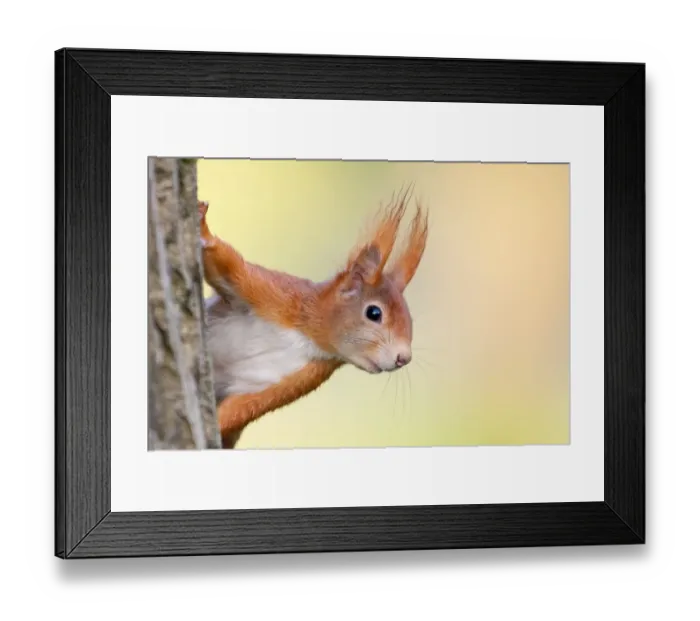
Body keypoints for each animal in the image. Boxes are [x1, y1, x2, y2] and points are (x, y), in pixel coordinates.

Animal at [198, 188, 429, 448]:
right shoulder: (273, 296)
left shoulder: (294, 379)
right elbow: (228, 266)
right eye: (374, 313)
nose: (404, 358)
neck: (306, 336)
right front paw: (202, 227)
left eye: (410, 321)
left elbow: (240, 409)